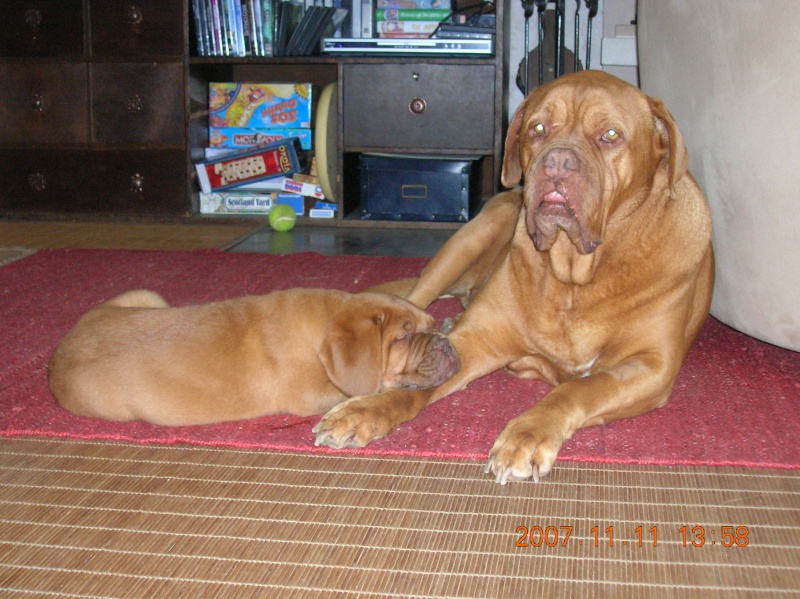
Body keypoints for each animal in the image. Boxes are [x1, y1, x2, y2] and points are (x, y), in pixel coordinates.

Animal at [50, 288, 460, 424]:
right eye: (404, 337)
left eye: (431, 324)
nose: (447, 345)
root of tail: (56, 358)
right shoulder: (310, 395)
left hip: (145, 297)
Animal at [312, 71, 712, 482]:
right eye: (538, 128)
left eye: (611, 135)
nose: (558, 160)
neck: (574, 276)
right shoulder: (476, 341)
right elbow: (414, 386)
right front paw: (363, 411)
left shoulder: (652, 366)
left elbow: (581, 388)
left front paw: (528, 433)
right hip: (471, 238)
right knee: (415, 302)